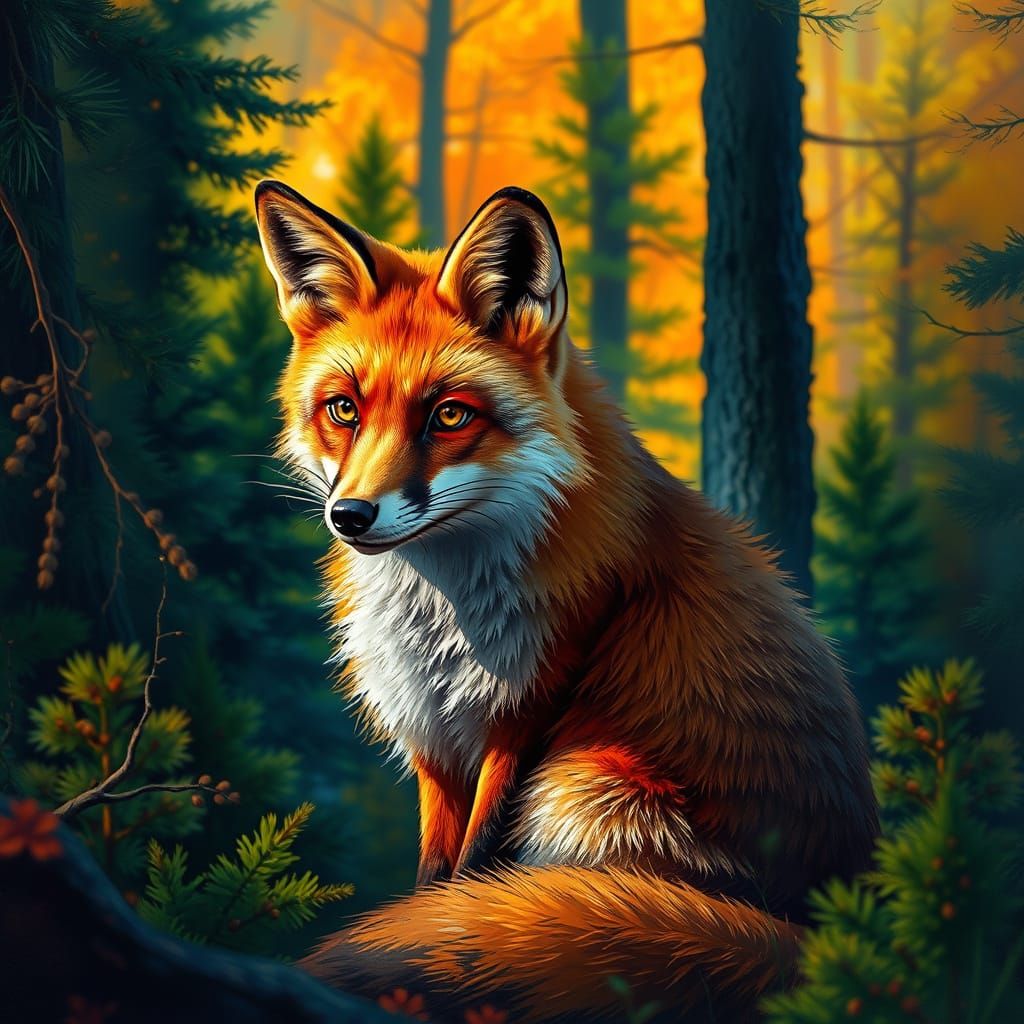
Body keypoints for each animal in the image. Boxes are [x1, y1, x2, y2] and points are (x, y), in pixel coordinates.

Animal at [253, 179, 879, 1023]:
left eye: (449, 414)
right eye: (344, 410)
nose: (350, 516)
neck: (443, 618)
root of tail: (827, 934)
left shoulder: (525, 716)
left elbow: (470, 876)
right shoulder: (435, 739)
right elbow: (433, 879)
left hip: (587, 785)